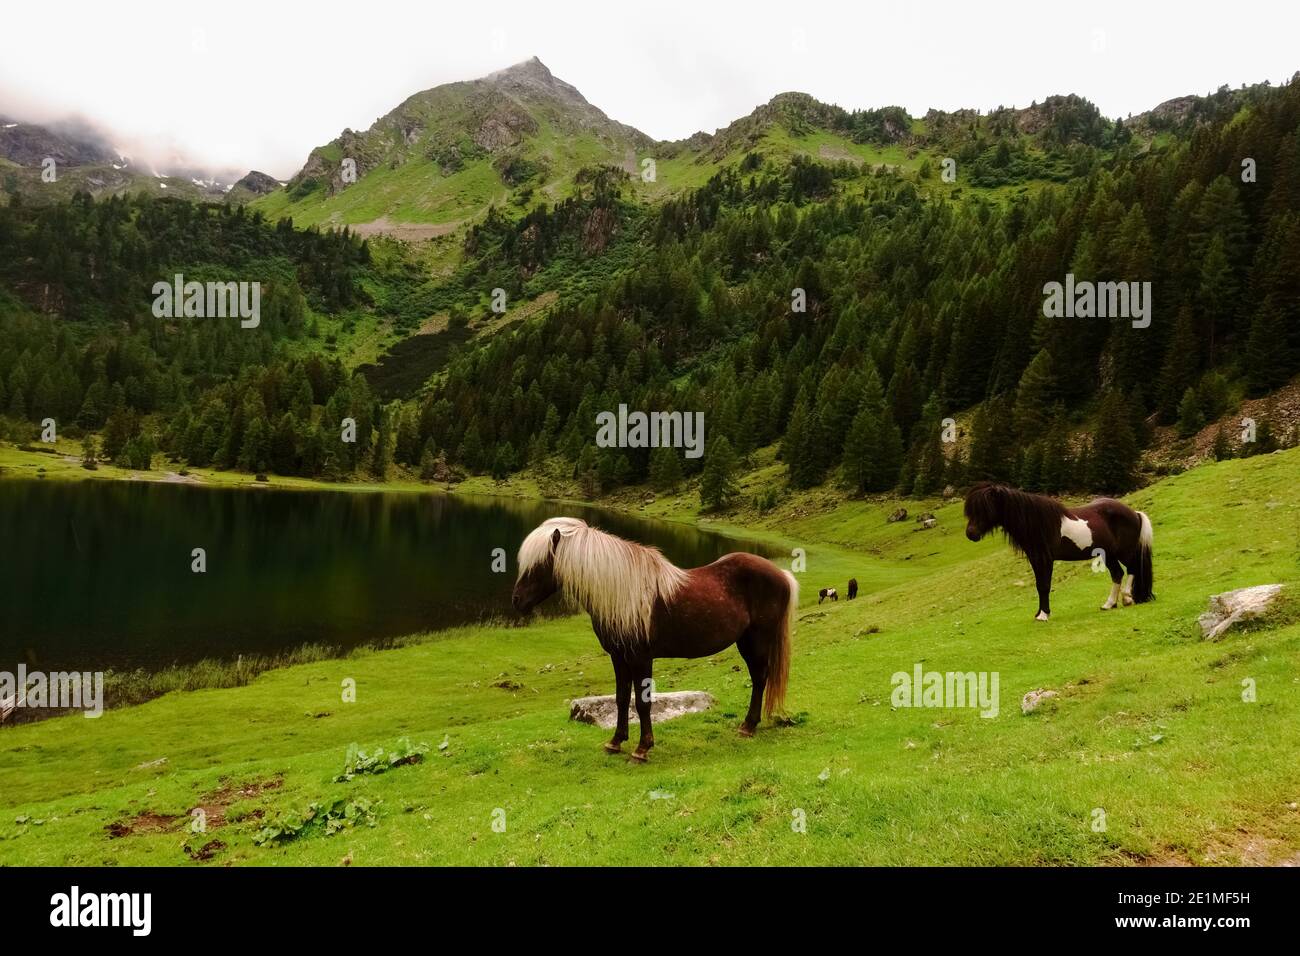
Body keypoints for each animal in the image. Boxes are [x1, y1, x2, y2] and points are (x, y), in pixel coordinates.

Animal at [512, 515, 795, 764]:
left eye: (538, 565)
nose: (516, 601)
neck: (623, 593)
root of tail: (781, 574)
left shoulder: (641, 658)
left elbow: (642, 702)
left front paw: (642, 749)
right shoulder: (619, 657)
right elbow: (621, 698)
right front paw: (615, 742)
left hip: (757, 642)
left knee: (759, 678)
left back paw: (748, 726)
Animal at [961, 481, 1154, 624]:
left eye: (985, 508)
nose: (970, 534)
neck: (1037, 522)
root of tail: (1134, 513)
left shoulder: (1045, 559)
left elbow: (1044, 586)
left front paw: (1043, 615)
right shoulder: (1035, 559)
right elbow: (1039, 586)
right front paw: (1039, 613)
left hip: (1124, 552)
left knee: (1132, 569)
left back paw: (1127, 599)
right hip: (1109, 554)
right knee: (1117, 574)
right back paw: (1109, 604)